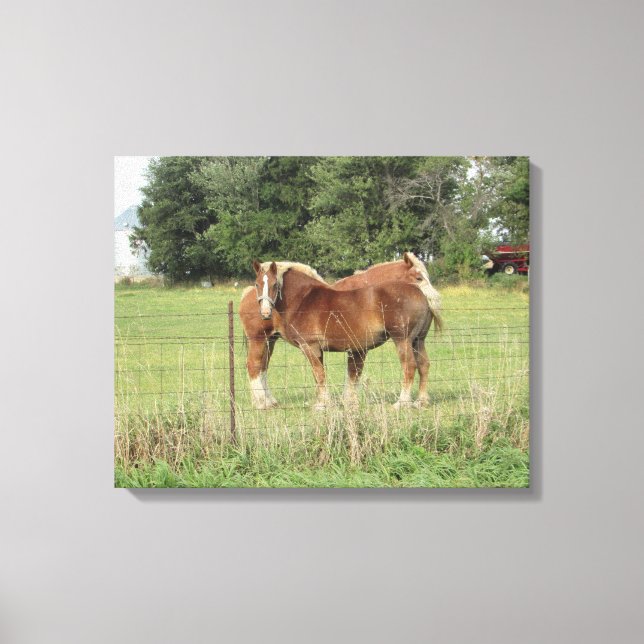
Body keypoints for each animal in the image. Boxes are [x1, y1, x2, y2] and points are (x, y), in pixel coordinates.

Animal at [238, 253, 442, 409]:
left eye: (275, 285)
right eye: (258, 284)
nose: (265, 312)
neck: (303, 299)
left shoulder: (313, 347)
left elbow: (326, 374)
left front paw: (324, 404)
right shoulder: (342, 349)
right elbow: (339, 375)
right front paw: (338, 402)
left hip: (404, 340)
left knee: (411, 366)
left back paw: (403, 402)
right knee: (257, 366)